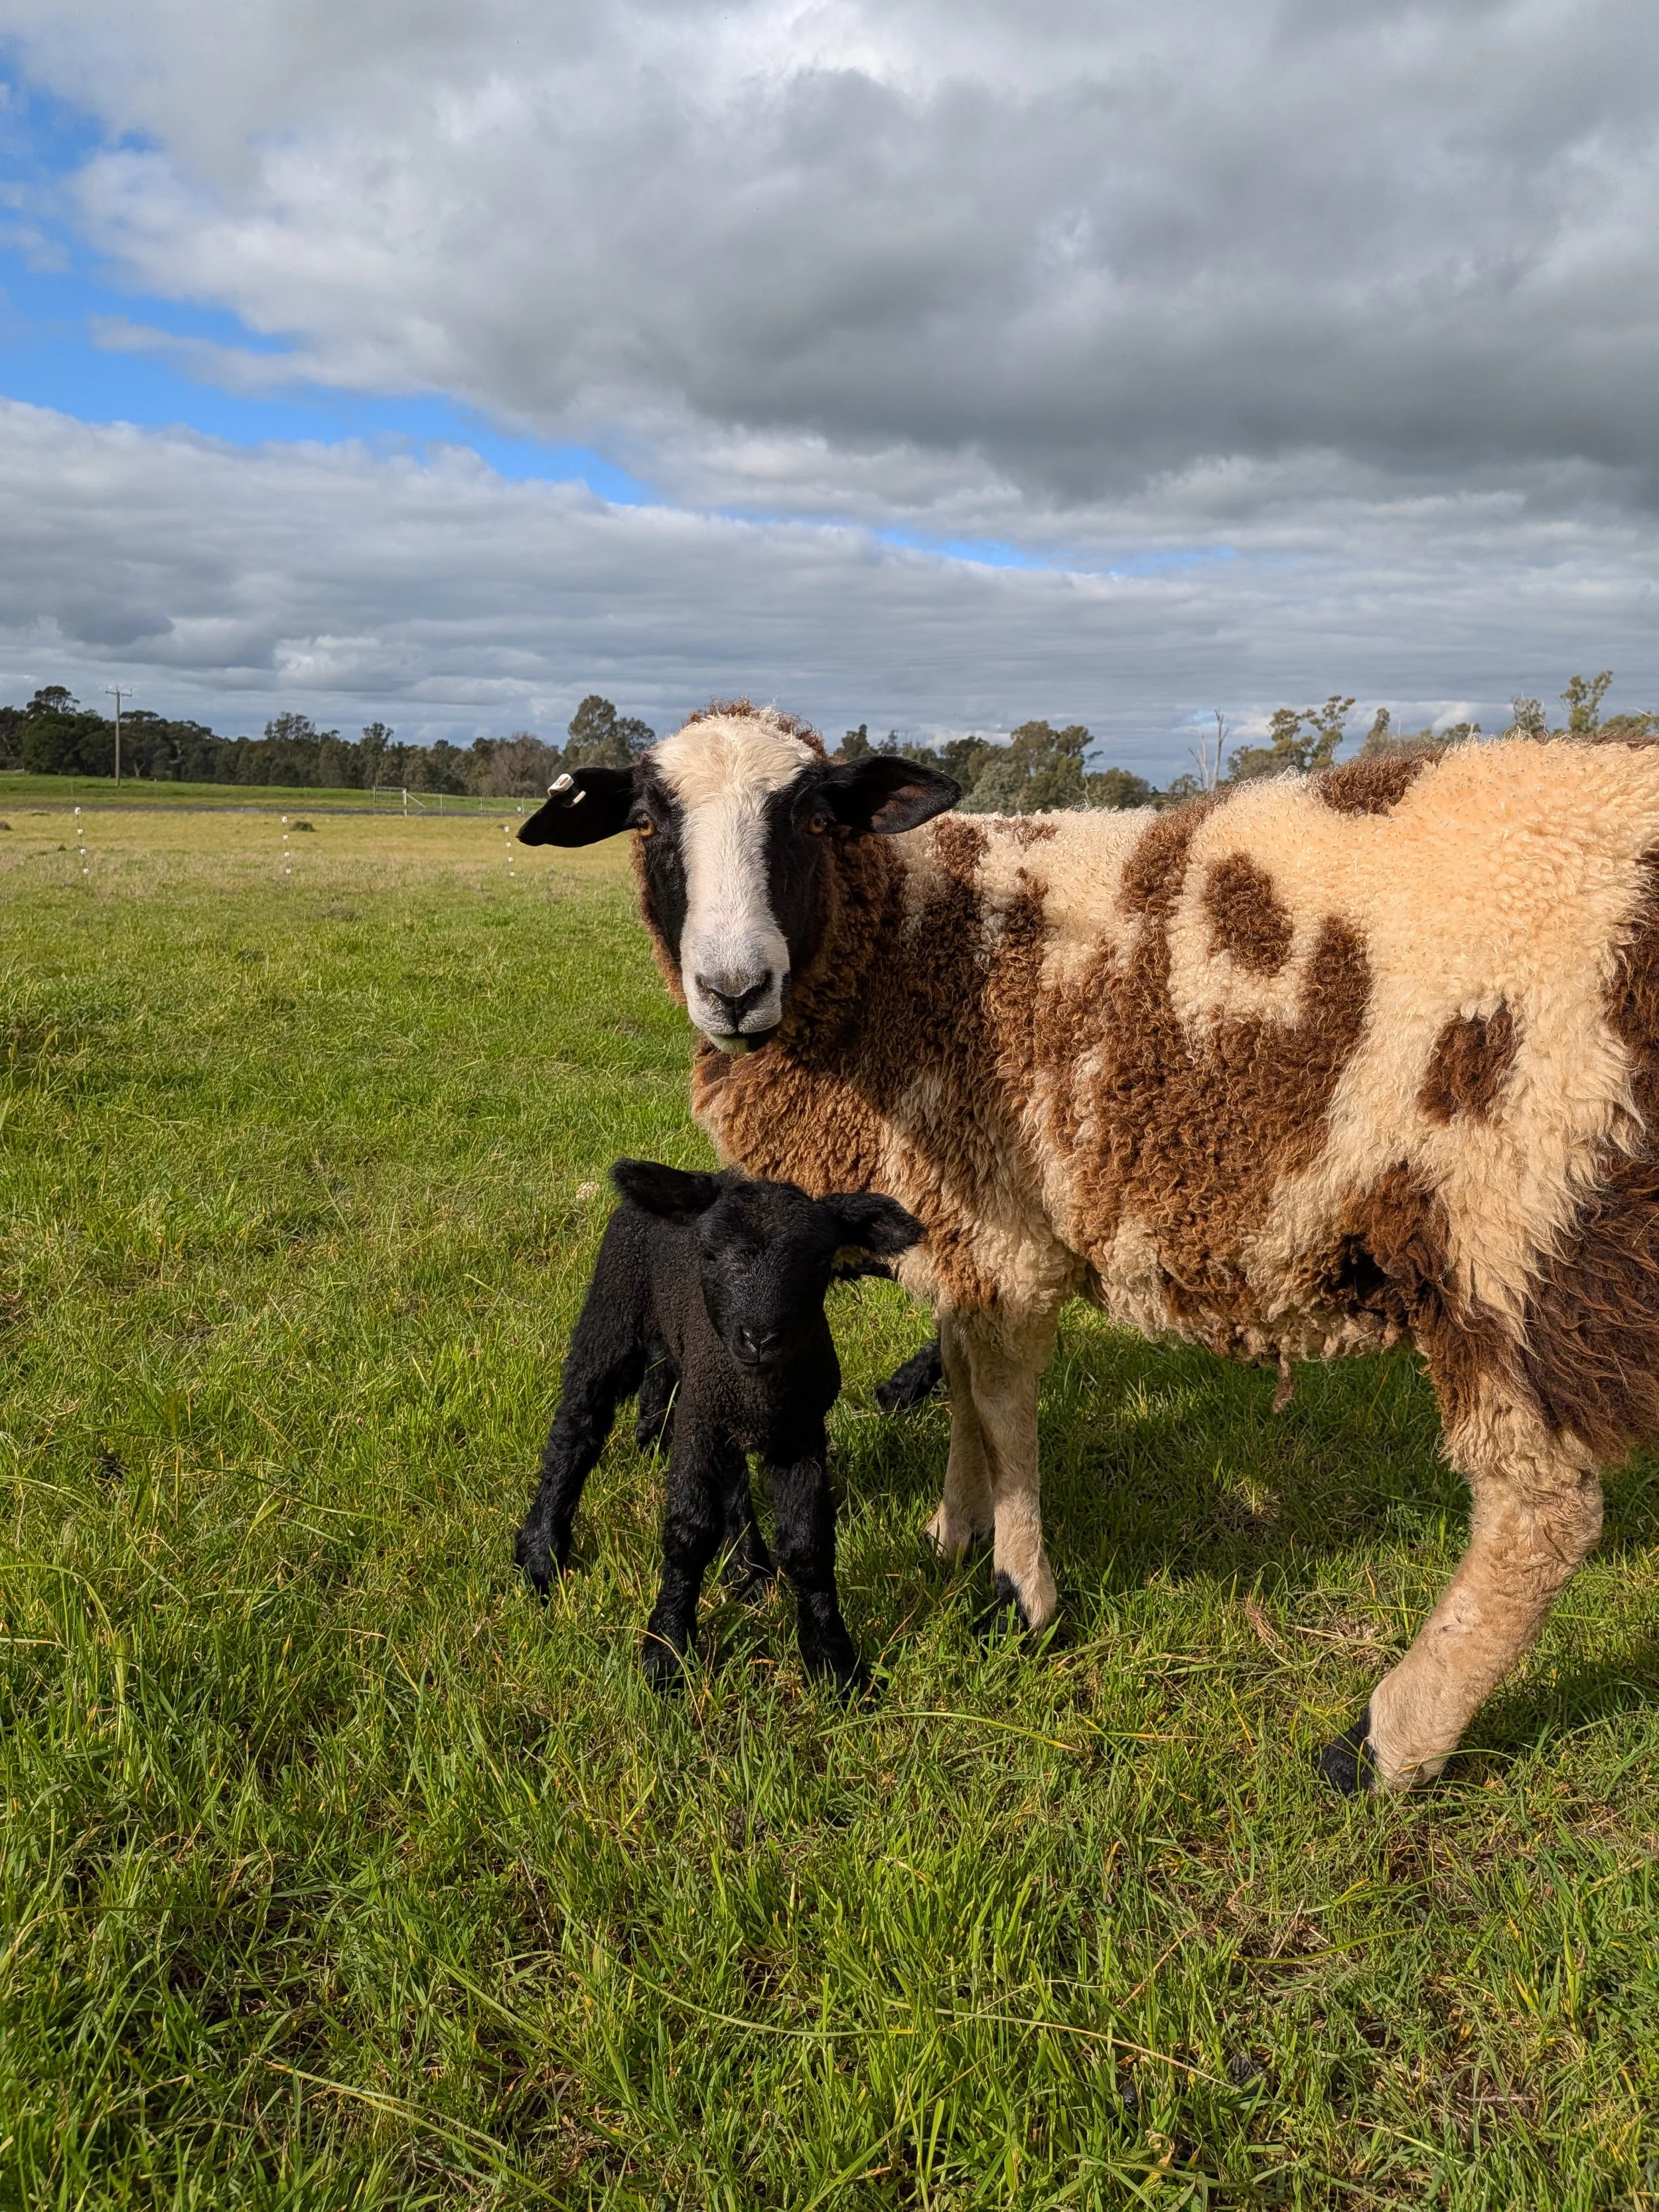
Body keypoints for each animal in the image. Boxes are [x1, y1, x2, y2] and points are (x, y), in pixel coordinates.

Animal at [514, 1157, 922, 1692]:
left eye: (819, 1262)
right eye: (708, 1255)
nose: (759, 1338)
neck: (758, 1388)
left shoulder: (798, 1431)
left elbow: (808, 1543)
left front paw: (834, 1664)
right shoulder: (700, 1421)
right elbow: (689, 1533)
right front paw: (666, 1651)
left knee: (714, 1454)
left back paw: (746, 1567)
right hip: (616, 1303)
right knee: (578, 1423)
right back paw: (540, 1554)